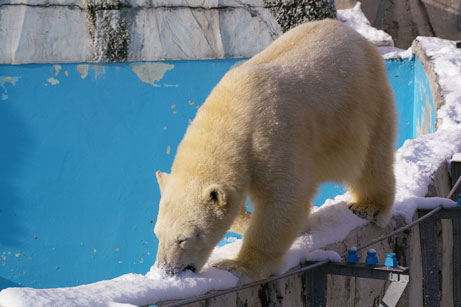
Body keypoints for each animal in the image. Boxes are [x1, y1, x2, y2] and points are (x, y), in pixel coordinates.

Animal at [154, 19, 396, 282]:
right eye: (157, 234)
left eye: (184, 239)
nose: (166, 270)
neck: (232, 115)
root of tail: (356, 36)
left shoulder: (274, 138)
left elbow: (280, 203)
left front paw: (237, 266)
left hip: (367, 100)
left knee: (373, 160)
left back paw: (369, 207)